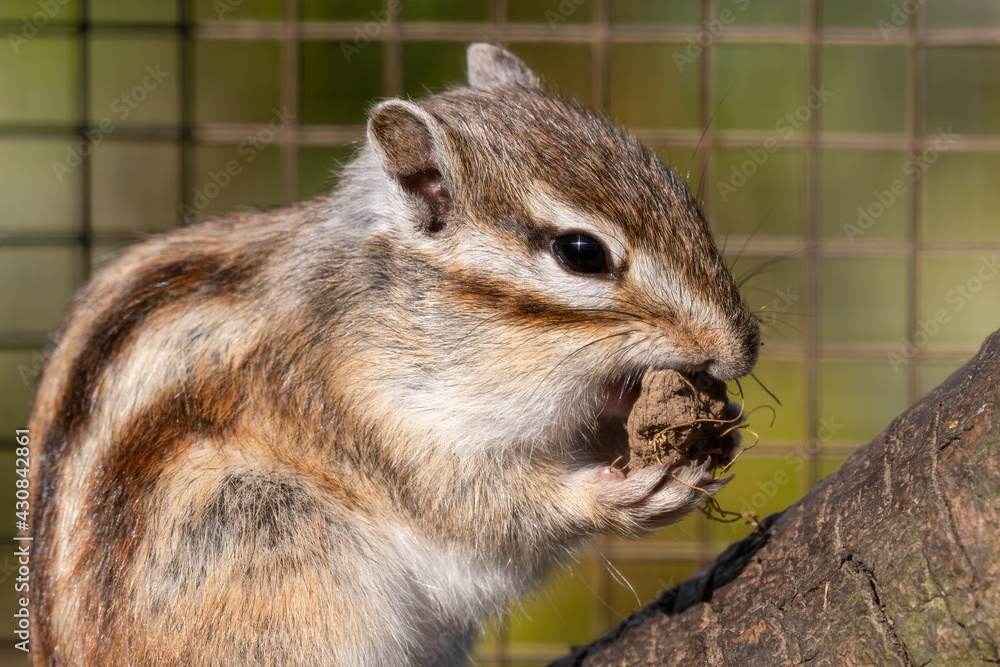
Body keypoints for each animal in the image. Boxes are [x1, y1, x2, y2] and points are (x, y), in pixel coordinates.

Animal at [27, 44, 760, 665]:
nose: (741, 350)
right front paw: (628, 491)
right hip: (260, 529)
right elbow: (481, 508)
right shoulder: (368, 408)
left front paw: (715, 427)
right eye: (581, 252)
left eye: (683, 196)